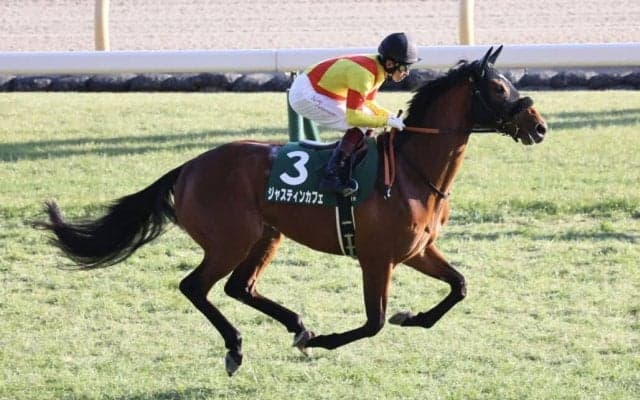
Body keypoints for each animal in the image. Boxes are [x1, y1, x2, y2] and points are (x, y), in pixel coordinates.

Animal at [36, 46, 547, 376]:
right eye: (499, 87)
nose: (539, 126)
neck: (411, 170)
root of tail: (188, 166)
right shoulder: (377, 258)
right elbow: (374, 322)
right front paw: (326, 341)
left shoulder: (418, 251)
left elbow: (459, 286)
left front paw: (412, 317)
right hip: (230, 240)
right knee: (196, 287)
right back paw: (239, 348)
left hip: (267, 234)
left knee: (240, 287)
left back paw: (296, 326)